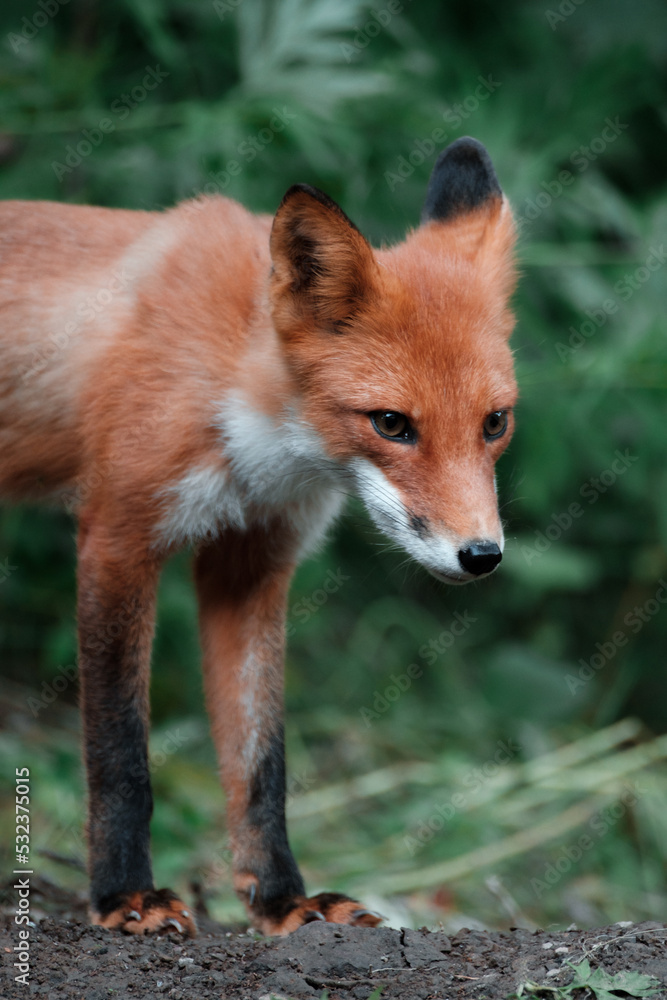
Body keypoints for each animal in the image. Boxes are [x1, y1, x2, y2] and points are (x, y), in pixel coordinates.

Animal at [0, 137, 517, 937]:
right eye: (391, 424)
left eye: (494, 423)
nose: (481, 556)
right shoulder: (117, 536)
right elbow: (120, 753)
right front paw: (124, 895)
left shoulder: (250, 565)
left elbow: (259, 760)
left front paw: (281, 901)